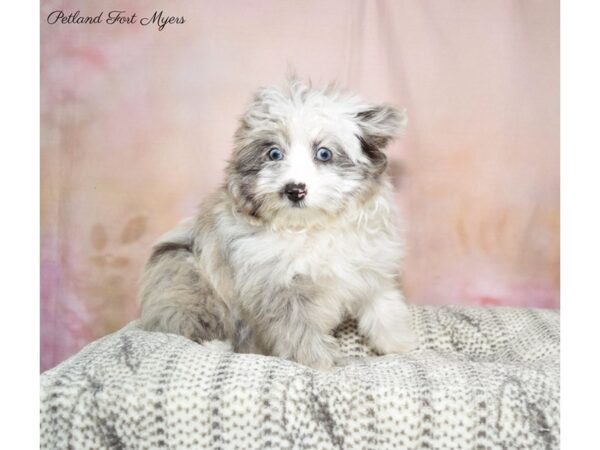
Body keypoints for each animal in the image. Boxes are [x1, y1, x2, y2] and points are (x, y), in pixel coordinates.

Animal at [139, 79, 418, 370]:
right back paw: (215, 344)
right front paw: (318, 362)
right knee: (185, 319)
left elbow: (383, 307)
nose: (294, 190)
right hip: (185, 276)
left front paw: (400, 344)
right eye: (274, 153)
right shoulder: (281, 289)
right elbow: (299, 330)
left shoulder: (369, 268)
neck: (311, 226)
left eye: (324, 153)